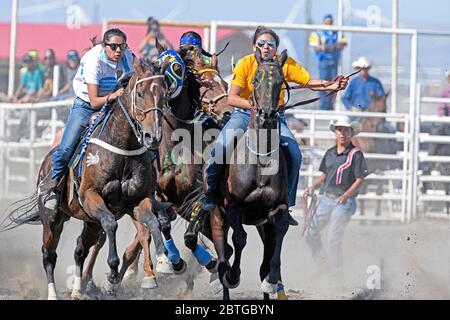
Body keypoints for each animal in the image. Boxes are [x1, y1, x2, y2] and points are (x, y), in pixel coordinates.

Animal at [0, 57, 173, 300]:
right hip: (53, 221)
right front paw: (112, 272)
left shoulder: (137, 201)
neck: (122, 147)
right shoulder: (91, 196)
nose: (153, 136)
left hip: (89, 221)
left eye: (165, 93)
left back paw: (77, 290)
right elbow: (111, 224)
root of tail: (46, 163)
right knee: (49, 254)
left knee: (80, 248)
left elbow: (152, 222)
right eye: (139, 93)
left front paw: (163, 261)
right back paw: (53, 293)